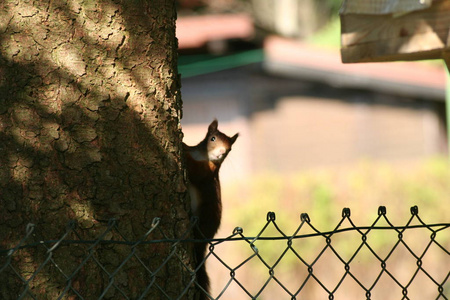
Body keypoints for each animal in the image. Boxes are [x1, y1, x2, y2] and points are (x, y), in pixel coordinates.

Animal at [183, 119, 239, 300]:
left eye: (230, 148)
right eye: (212, 138)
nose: (222, 152)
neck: (202, 156)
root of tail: (206, 240)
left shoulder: (207, 172)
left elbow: (195, 170)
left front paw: (182, 149)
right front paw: (184, 143)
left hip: (206, 215)